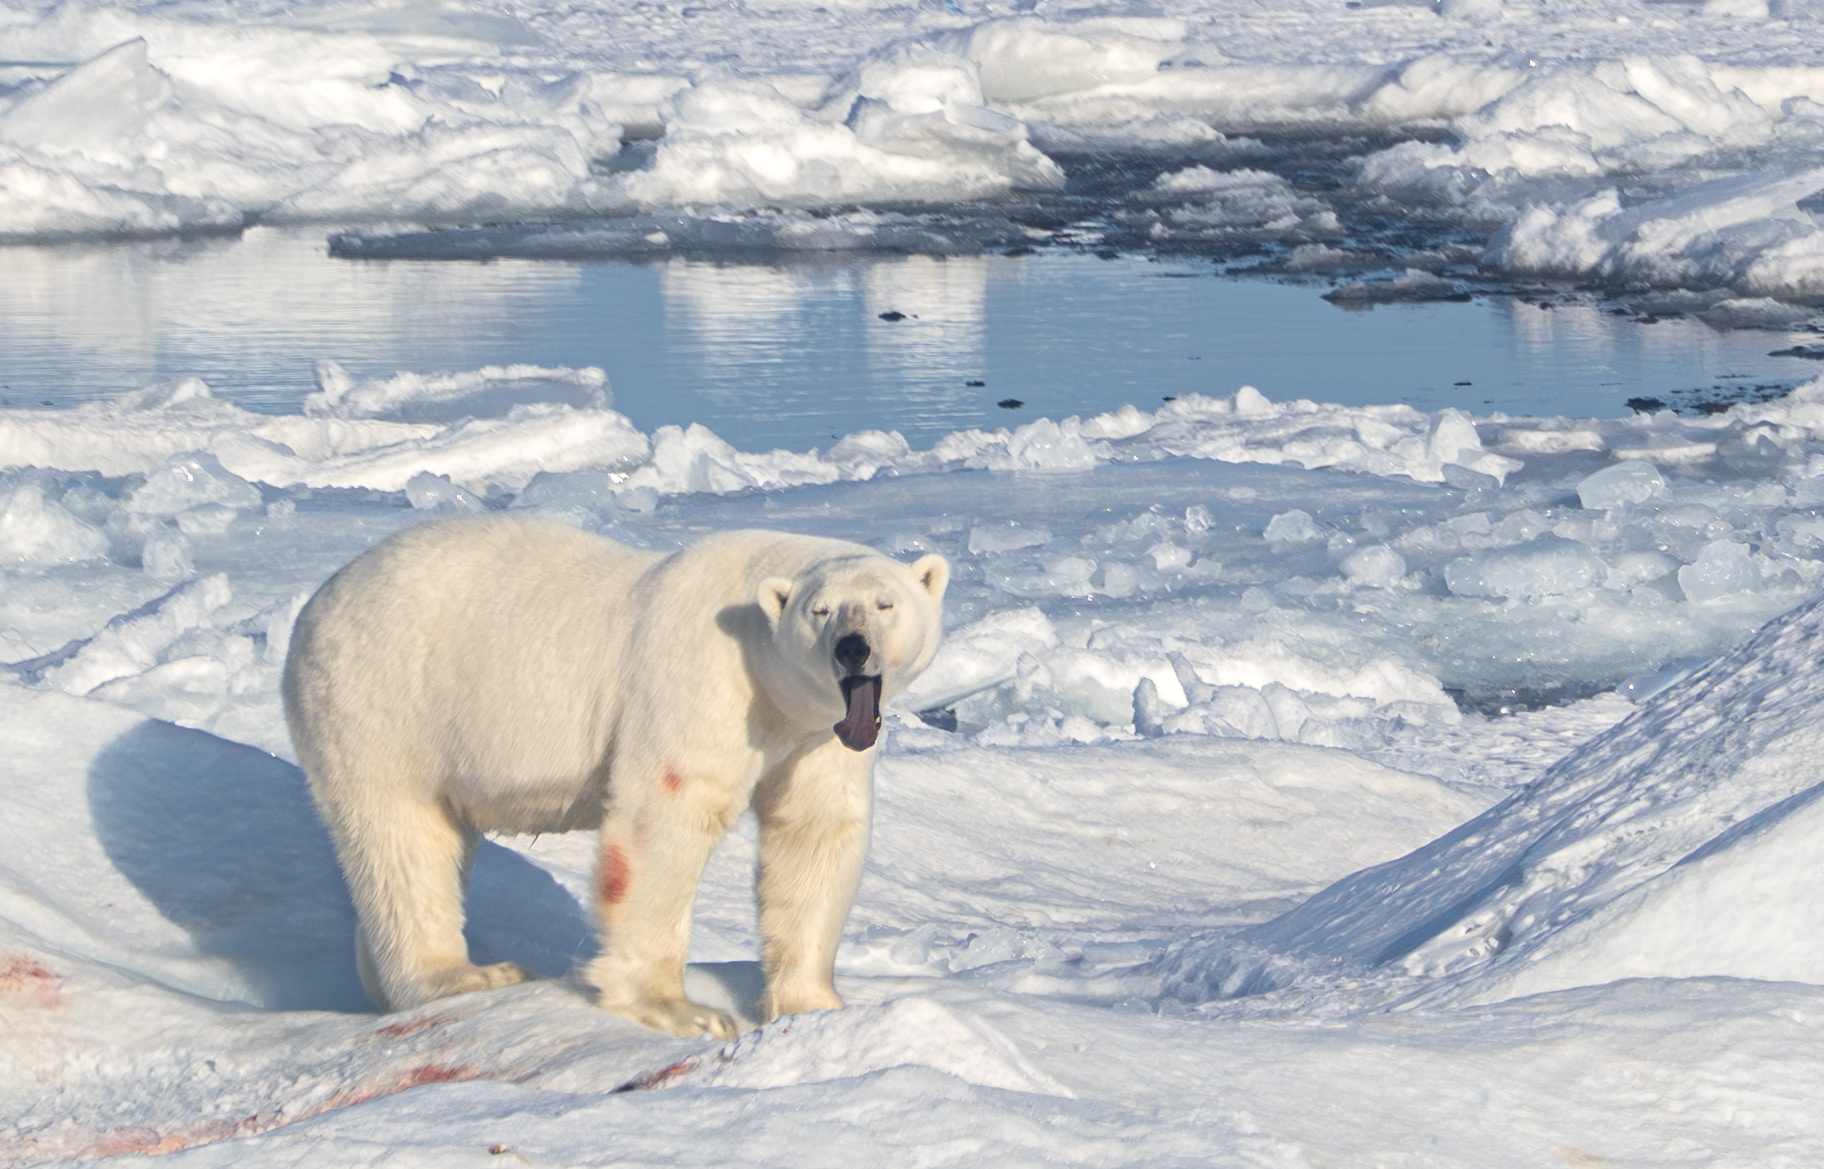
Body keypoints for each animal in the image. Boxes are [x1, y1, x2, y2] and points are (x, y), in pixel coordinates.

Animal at [282, 517, 948, 1039]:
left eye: (886, 604)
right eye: (821, 611)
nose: (852, 648)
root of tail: (317, 603)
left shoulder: (817, 736)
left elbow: (815, 832)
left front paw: (816, 1004)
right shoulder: (701, 678)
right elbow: (667, 815)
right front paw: (684, 1010)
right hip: (382, 704)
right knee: (403, 842)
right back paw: (464, 975)